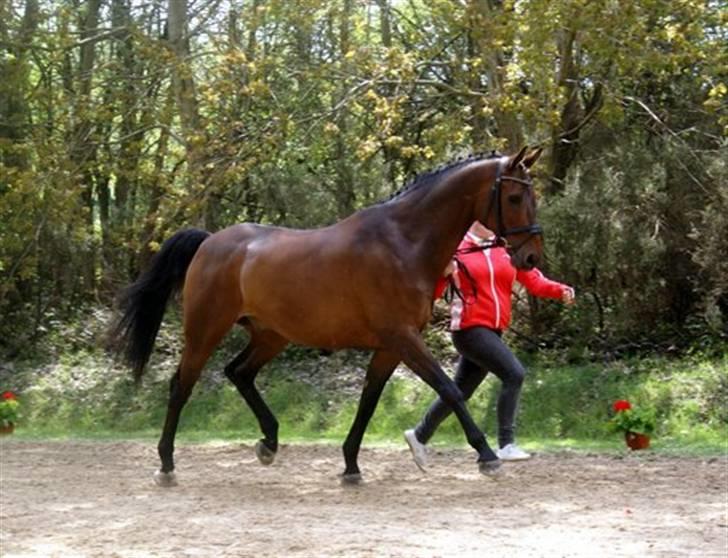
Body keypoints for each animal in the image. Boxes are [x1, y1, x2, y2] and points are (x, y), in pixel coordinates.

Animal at [111, 147, 544, 488]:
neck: (403, 243)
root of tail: (210, 242)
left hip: (271, 335)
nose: (531, 257)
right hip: (205, 330)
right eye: (515, 196)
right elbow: (449, 390)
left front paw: (351, 464)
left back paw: (268, 443)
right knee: (181, 386)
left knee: (239, 373)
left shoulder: (391, 346)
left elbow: (369, 400)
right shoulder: (404, 338)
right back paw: (166, 464)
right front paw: (487, 456)